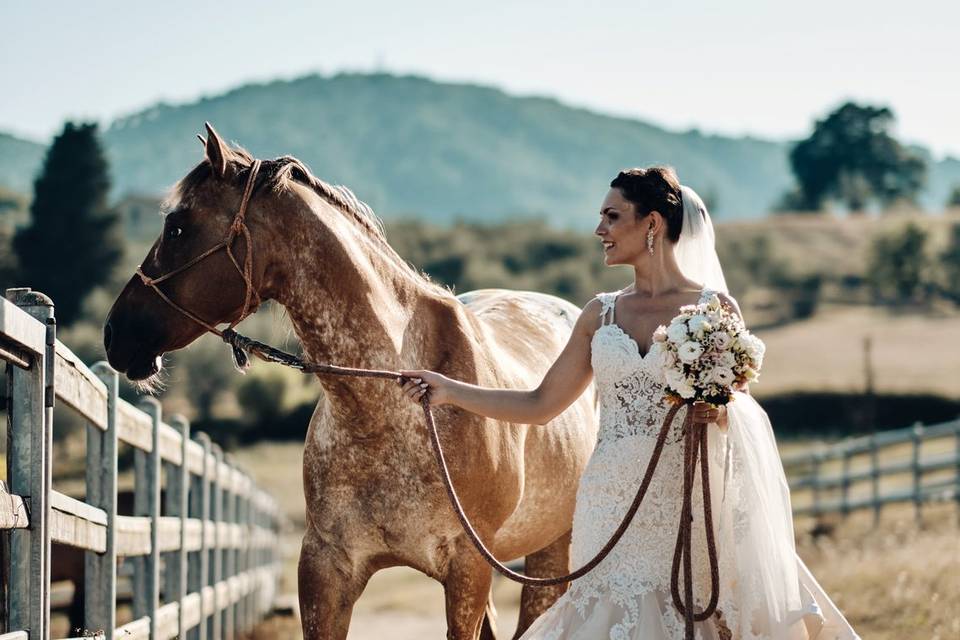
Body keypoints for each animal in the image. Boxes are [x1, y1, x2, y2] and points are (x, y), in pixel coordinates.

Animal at [107, 125, 600, 640]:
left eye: (177, 227)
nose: (115, 333)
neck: (390, 408)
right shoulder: (326, 568)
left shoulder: (468, 570)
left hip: (549, 557)